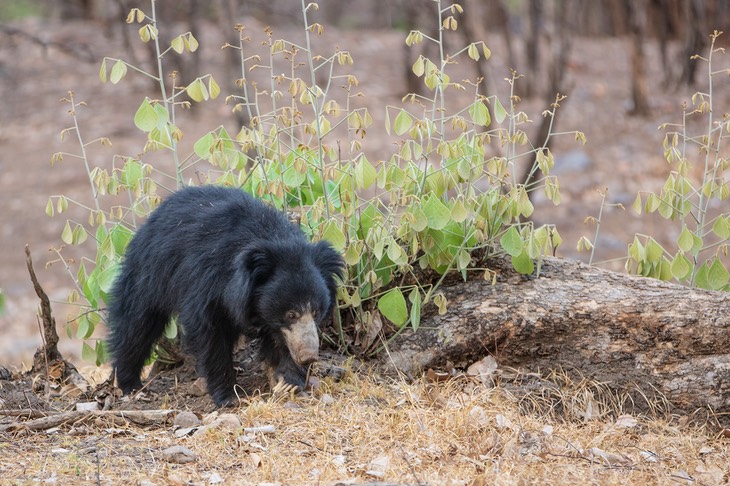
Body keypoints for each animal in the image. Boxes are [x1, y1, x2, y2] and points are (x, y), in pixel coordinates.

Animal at [106, 186, 342, 406]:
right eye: (291, 314)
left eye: (316, 312)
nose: (309, 356)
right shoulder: (208, 281)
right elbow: (211, 334)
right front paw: (228, 396)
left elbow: (282, 341)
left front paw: (288, 382)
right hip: (150, 272)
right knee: (136, 322)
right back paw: (129, 383)